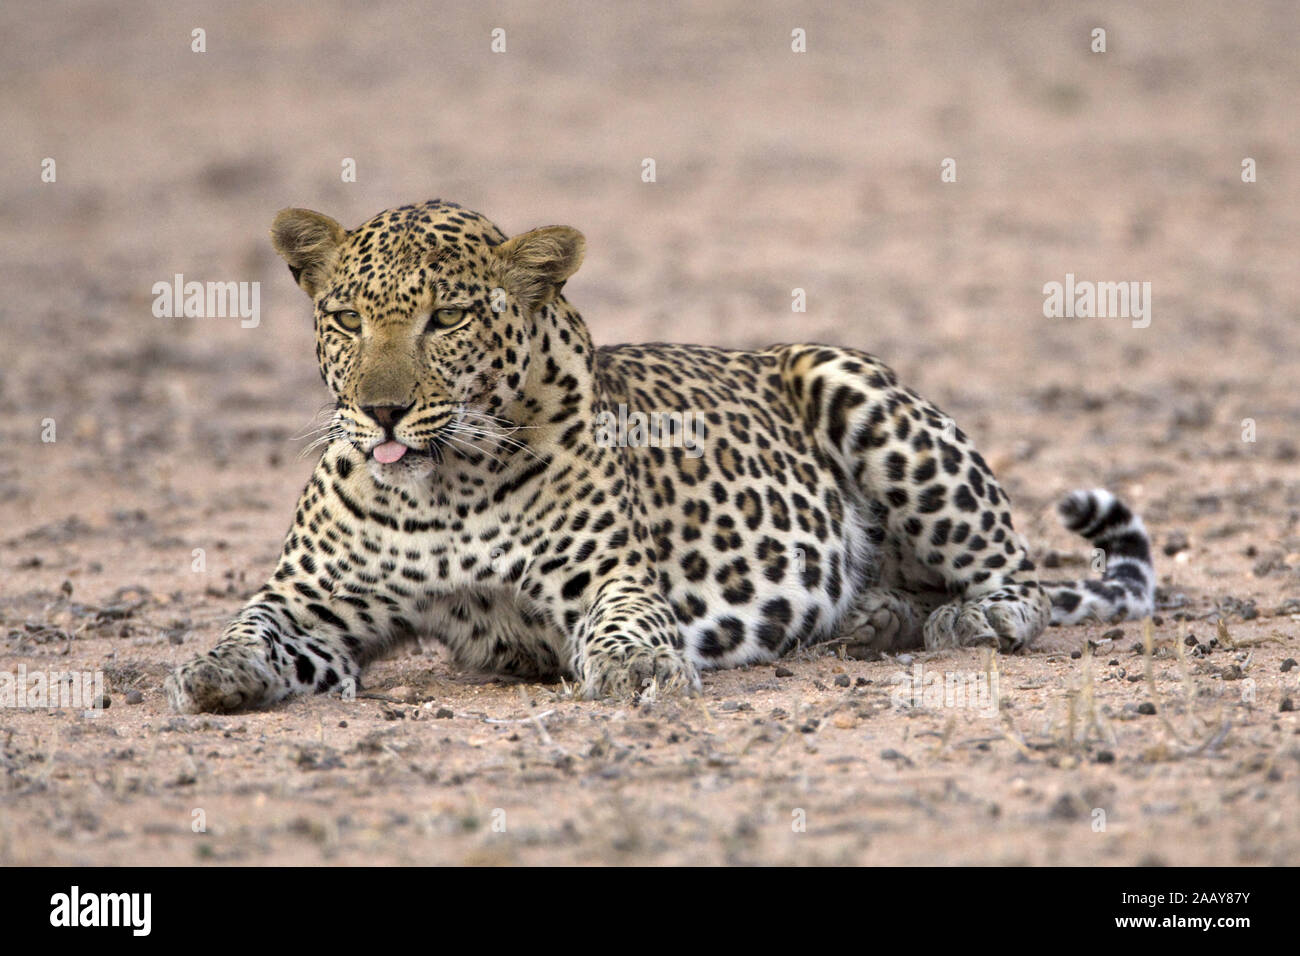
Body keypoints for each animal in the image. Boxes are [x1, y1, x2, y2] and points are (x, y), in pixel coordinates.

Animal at [165, 197, 1159, 712]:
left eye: (445, 319)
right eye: (345, 318)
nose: (382, 412)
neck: (438, 490)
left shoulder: (611, 578)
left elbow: (628, 624)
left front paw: (640, 667)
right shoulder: (315, 605)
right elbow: (251, 625)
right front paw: (210, 671)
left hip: (851, 382)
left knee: (1019, 576)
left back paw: (972, 617)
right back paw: (871, 619)